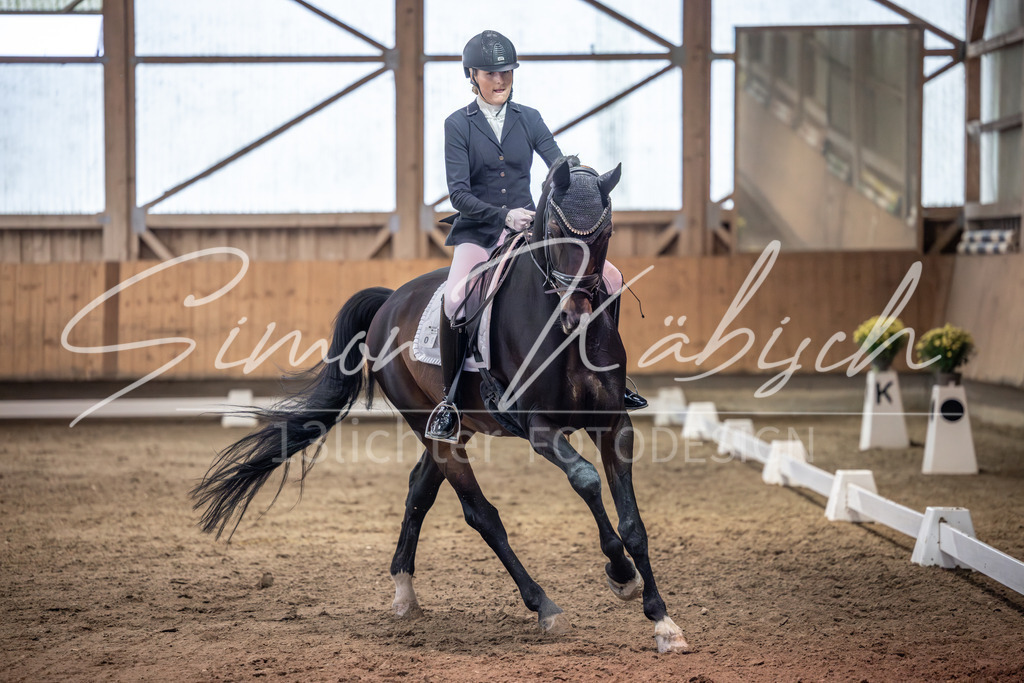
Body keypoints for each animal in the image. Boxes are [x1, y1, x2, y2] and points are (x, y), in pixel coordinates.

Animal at [191, 156, 690, 653]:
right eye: (551, 230)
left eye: (605, 234)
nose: (575, 315)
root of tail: (389, 301)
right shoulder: (538, 427)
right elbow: (586, 479)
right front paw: (621, 575)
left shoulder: (614, 423)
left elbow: (633, 524)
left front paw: (662, 620)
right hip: (433, 428)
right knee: (481, 515)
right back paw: (543, 606)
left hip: (453, 427)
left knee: (419, 490)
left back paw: (404, 593)